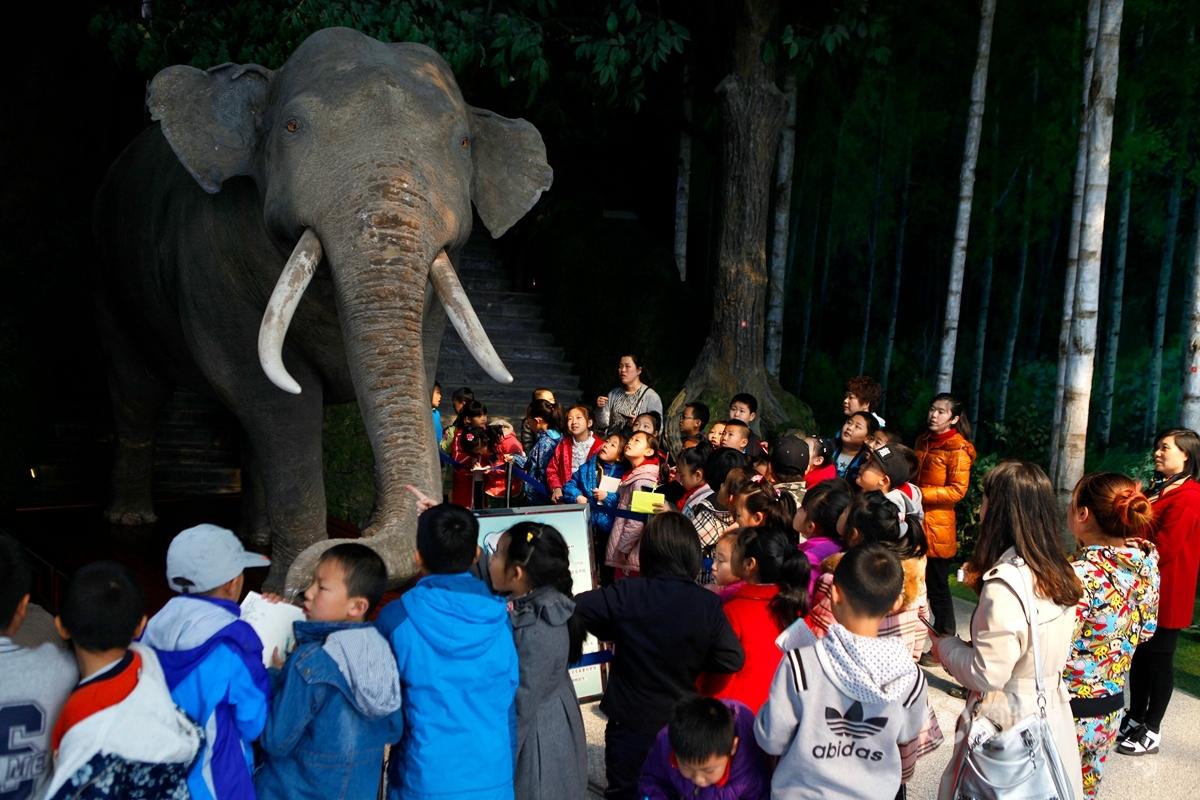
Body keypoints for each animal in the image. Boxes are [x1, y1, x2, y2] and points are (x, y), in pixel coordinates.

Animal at [93, 27, 551, 591]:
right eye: (292, 126)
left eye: (464, 143)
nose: (354, 535)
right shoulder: (212, 264)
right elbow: (281, 403)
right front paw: (282, 591)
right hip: (110, 277)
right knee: (138, 391)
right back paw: (132, 520)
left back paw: (255, 540)